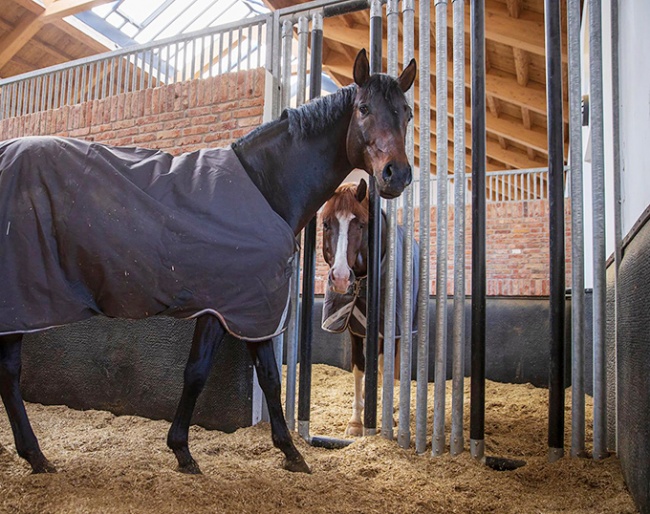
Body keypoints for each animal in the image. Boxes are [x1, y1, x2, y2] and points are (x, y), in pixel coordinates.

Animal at [320, 178, 420, 434]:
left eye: (361, 224)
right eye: (326, 224)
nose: (341, 278)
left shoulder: (389, 328)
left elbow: (386, 368)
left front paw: (386, 420)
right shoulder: (354, 329)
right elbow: (359, 368)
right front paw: (356, 422)